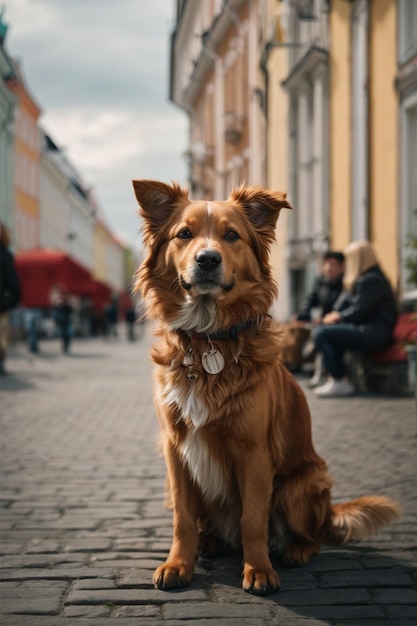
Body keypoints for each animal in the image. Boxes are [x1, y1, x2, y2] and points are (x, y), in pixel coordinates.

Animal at [133, 179, 400, 596]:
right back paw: (209, 543)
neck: (209, 339)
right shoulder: (175, 450)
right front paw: (179, 564)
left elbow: (253, 519)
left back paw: (294, 551)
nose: (207, 259)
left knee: (313, 537)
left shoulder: (254, 451)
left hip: (301, 484)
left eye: (231, 235)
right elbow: (182, 518)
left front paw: (258, 570)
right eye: (184, 234)